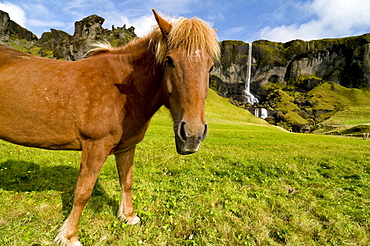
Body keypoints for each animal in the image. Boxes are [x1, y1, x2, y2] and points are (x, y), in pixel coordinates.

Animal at [0, 8, 220, 245]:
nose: (192, 135)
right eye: (169, 61)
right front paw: (69, 235)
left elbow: (126, 181)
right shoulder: (95, 146)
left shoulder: (126, 148)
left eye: (211, 67)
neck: (125, 91)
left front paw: (129, 216)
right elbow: (83, 192)